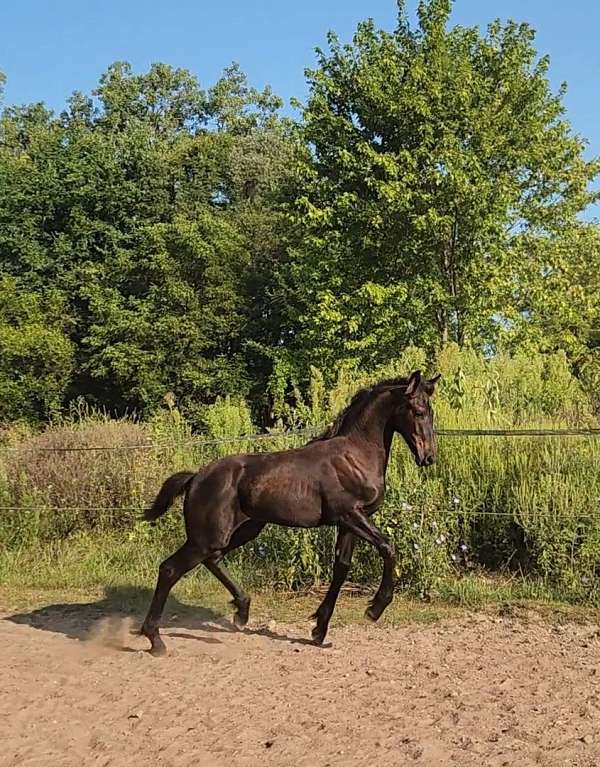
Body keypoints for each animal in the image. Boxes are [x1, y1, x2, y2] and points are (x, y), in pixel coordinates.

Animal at [141, 369, 440, 655]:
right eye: (418, 411)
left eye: (431, 411)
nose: (428, 457)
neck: (354, 456)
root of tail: (195, 478)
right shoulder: (350, 515)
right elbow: (387, 547)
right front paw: (375, 609)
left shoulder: (349, 523)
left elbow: (341, 567)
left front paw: (319, 629)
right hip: (207, 537)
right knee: (170, 568)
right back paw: (155, 640)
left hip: (244, 530)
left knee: (212, 560)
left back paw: (242, 611)